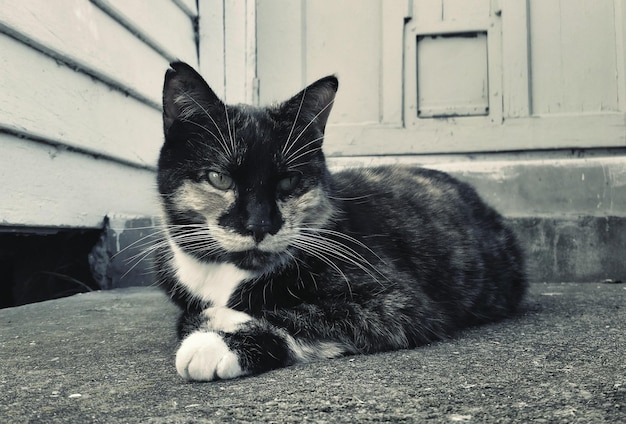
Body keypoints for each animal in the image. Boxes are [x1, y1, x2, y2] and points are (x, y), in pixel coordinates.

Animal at [154, 62, 524, 380]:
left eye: (289, 181)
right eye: (219, 178)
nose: (260, 224)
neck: (226, 274)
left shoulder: (397, 302)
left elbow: (306, 315)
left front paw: (214, 341)